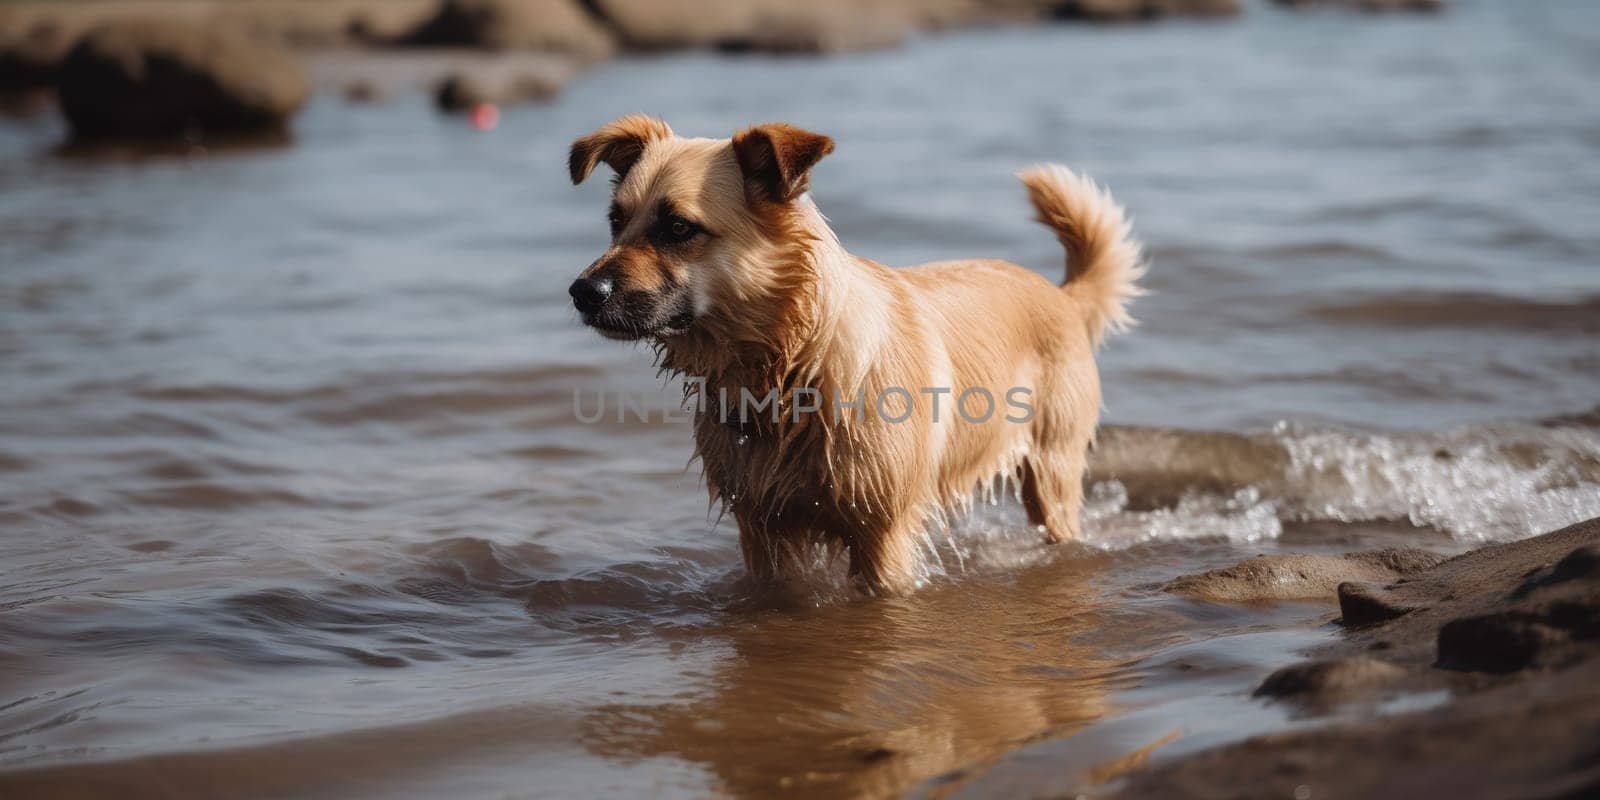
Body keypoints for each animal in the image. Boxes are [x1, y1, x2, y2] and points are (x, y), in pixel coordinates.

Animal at [569, 116, 1145, 595]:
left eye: (679, 228)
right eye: (616, 220)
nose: (582, 292)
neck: (791, 366)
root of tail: (1063, 296)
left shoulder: (882, 535)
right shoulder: (762, 530)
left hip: (1053, 469)